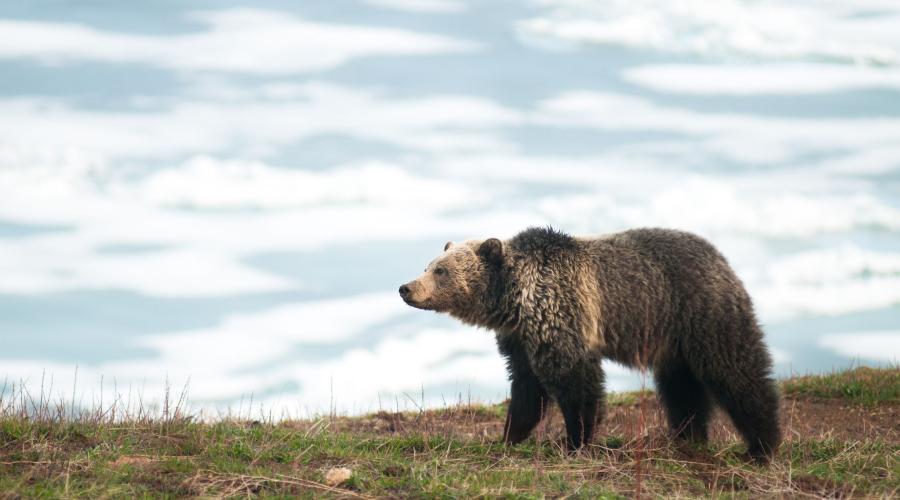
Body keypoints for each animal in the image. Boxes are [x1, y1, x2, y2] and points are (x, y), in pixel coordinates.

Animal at [400, 227, 780, 460]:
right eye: (429, 265)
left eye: (441, 271)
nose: (406, 287)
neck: (514, 299)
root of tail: (721, 258)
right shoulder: (521, 339)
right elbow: (526, 389)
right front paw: (509, 436)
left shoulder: (561, 316)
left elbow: (576, 383)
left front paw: (575, 442)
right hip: (674, 342)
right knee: (681, 389)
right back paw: (688, 437)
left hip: (701, 312)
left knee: (735, 371)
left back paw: (761, 445)